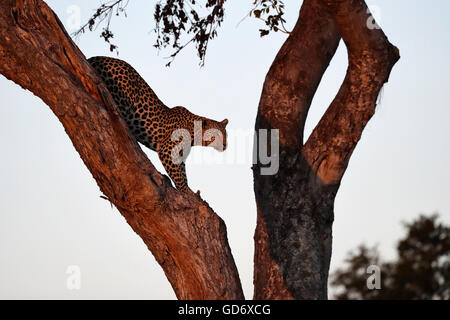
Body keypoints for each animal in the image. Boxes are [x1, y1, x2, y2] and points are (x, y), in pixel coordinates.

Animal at [88, 55, 229, 192]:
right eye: (217, 135)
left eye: (226, 135)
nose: (225, 145)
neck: (194, 135)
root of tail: (95, 57)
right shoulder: (167, 150)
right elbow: (179, 178)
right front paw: (186, 191)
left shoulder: (180, 156)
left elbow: (183, 174)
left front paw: (189, 190)